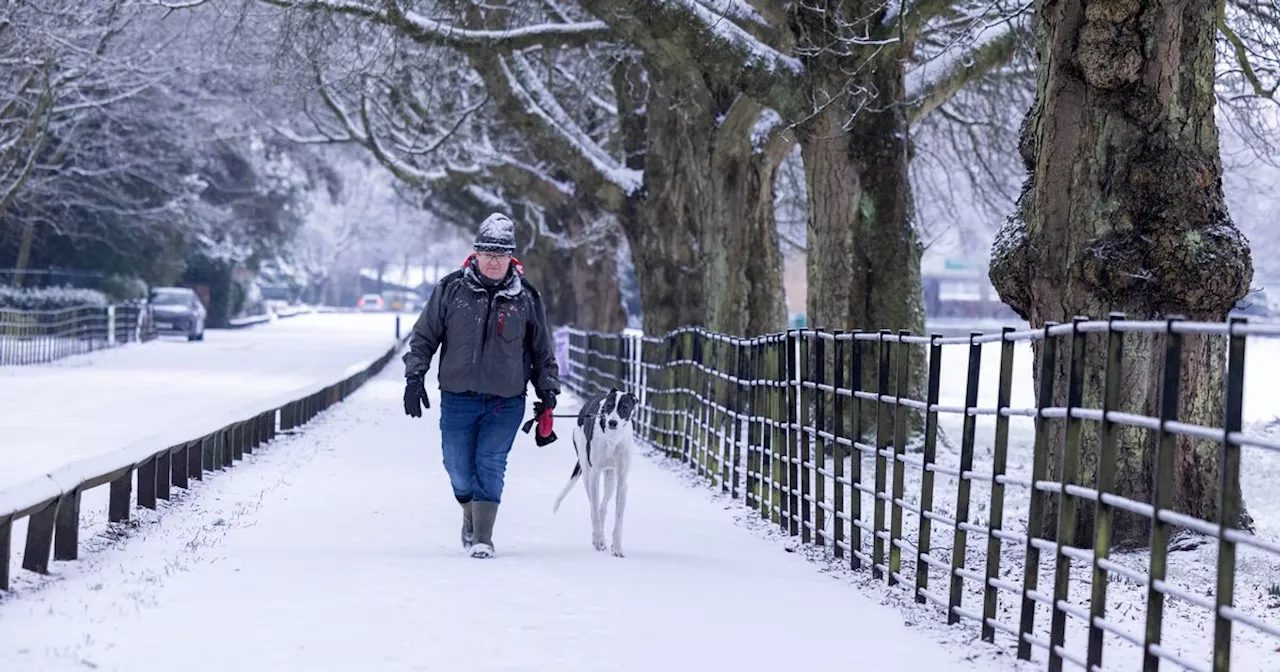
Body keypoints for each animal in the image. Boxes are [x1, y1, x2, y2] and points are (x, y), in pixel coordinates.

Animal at [552, 384, 637, 558]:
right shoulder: (595, 474)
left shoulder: (622, 481)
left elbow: (618, 518)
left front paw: (617, 548)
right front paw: (598, 540)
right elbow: (594, 511)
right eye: (609, 406)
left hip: (611, 478)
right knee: (594, 507)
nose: (612, 422)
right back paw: (598, 537)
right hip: (586, 471)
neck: (612, 438)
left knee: (602, 507)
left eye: (624, 407)